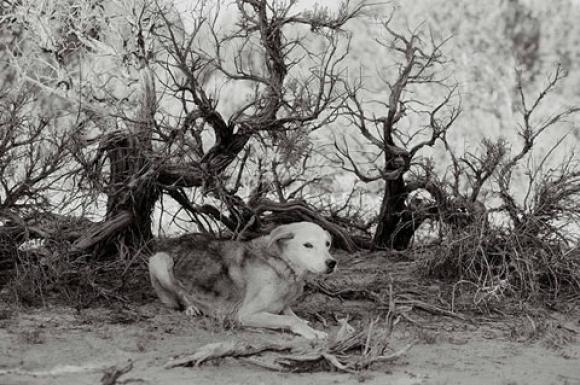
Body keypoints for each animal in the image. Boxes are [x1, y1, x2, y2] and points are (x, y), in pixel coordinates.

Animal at [147, 220, 338, 338]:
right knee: (179, 296)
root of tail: (176, 240)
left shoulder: (282, 304)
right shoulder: (246, 314)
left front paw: (310, 326)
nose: (332, 263)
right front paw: (310, 332)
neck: (282, 264)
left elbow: (291, 314)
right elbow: (288, 319)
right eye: (308, 245)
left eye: (327, 244)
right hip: (159, 260)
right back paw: (191, 308)